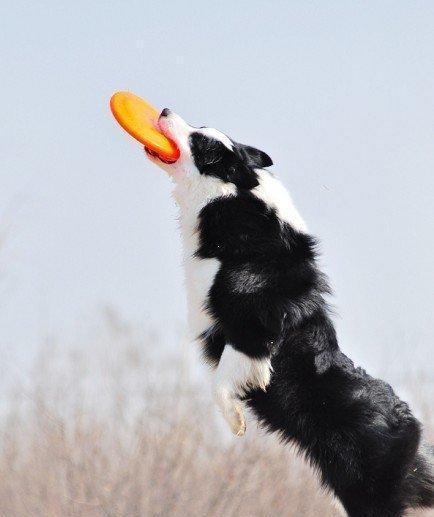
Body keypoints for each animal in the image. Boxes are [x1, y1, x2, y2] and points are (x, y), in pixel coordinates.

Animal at [146, 107, 434, 512]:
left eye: (199, 142)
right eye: (199, 128)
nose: (165, 110)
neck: (234, 200)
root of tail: (409, 422)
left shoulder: (252, 324)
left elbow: (223, 381)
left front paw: (235, 421)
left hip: (367, 491)